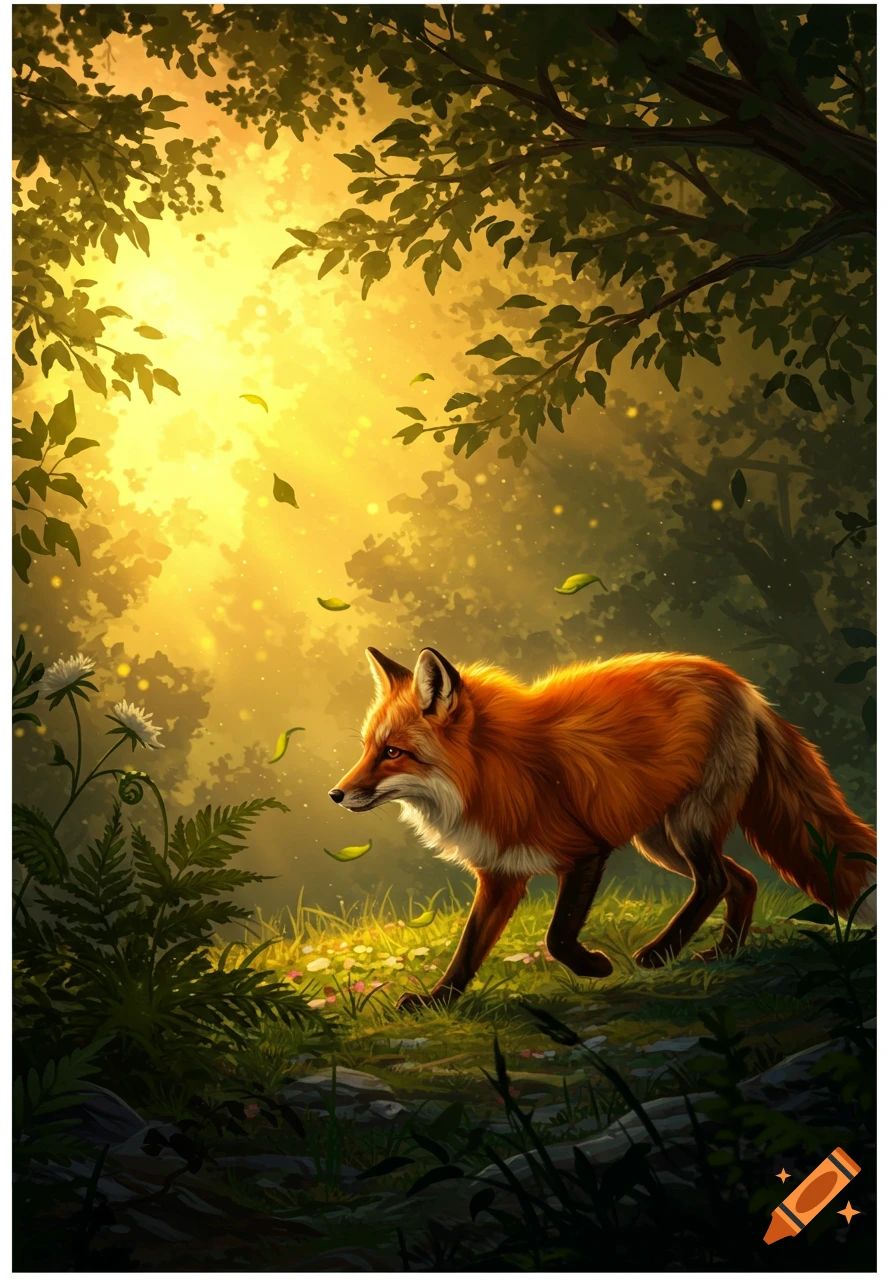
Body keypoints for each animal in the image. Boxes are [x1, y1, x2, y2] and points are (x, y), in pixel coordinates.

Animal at [329, 646, 877, 1011]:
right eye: (367, 748)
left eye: (393, 752)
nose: (335, 795)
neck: (492, 771)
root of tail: (740, 684)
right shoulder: (501, 873)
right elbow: (468, 948)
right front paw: (438, 1000)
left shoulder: (585, 852)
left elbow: (557, 936)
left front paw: (594, 967)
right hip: (658, 839)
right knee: (741, 880)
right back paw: (720, 952)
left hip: (686, 826)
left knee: (716, 880)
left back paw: (660, 953)